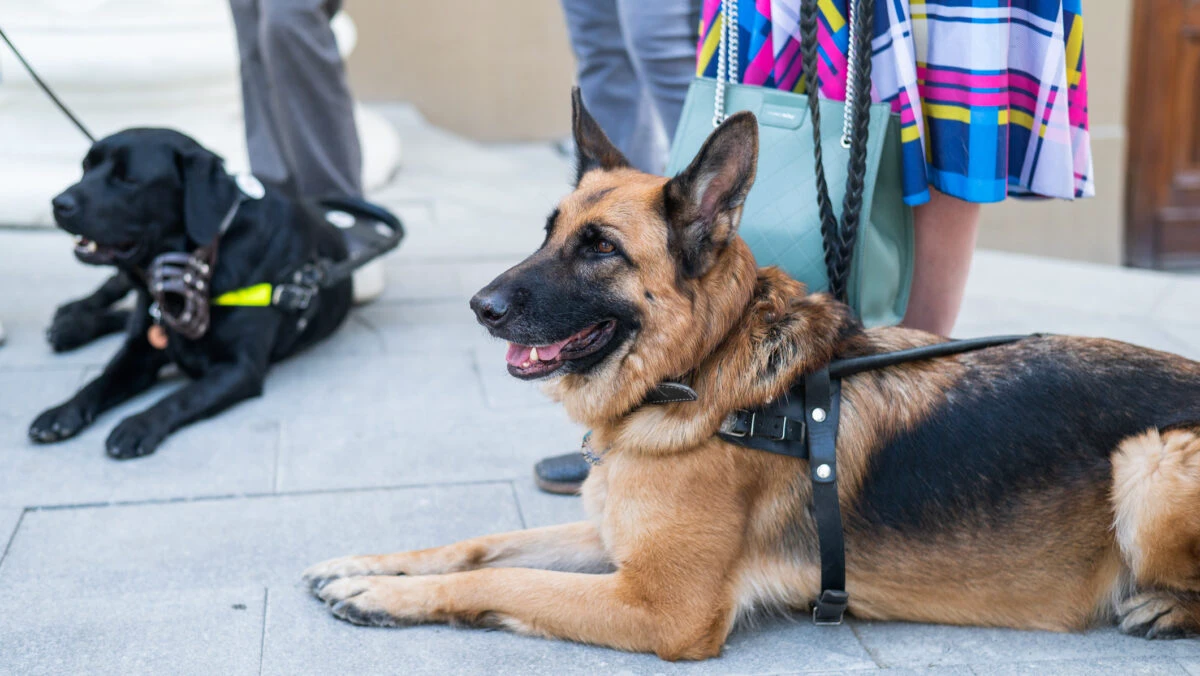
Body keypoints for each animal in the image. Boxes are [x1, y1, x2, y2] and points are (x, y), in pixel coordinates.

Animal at [29, 128, 350, 461]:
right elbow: (101, 380)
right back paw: (72, 319)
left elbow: (183, 396)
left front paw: (138, 424)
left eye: (127, 179)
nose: (58, 203)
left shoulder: (239, 368)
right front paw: (63, 411)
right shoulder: (138, 353)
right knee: (115, 292)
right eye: (85, 167)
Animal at [307, 92, 1200, 657]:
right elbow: (481, 545)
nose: (480, 306)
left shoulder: (661, 607)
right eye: (549, 231)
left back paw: (1160, 606)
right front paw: (368, 567)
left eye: (600, 249)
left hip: (1151, 457)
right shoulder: (610, 539)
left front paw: (383, 599)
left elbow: (509, 581)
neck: (698, 374)